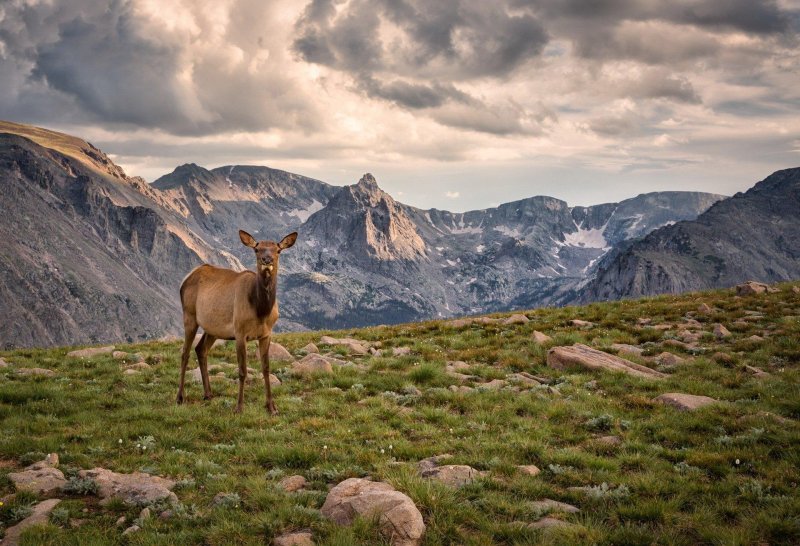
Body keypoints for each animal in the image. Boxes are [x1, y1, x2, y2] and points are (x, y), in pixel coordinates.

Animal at [177, 230, 298, 412]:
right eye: (257, 249)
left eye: (278, 250)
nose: (267, 260)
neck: (260, 311)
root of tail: (186, 279)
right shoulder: (240, 332)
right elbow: (242, 371)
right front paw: (239, 407)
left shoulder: (266, 334)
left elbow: (266, 368)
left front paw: (272, 407)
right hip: (189, 315)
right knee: (185, 352)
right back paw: (180, 397)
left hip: (213, 328)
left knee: (200, 349)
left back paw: (208, 394)